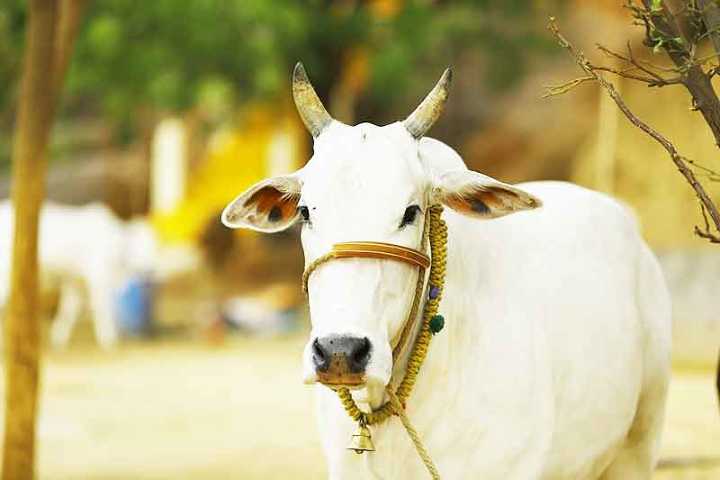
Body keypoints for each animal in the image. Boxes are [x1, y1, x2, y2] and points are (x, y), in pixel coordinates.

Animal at [0, 200, 156, 348]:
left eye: (154, 243)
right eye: (145, 244)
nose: (152, 268)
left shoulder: (74, 280)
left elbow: (69, 309)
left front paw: (58, 338)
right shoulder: (98, 277)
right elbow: (102, 308)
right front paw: (109, 340)